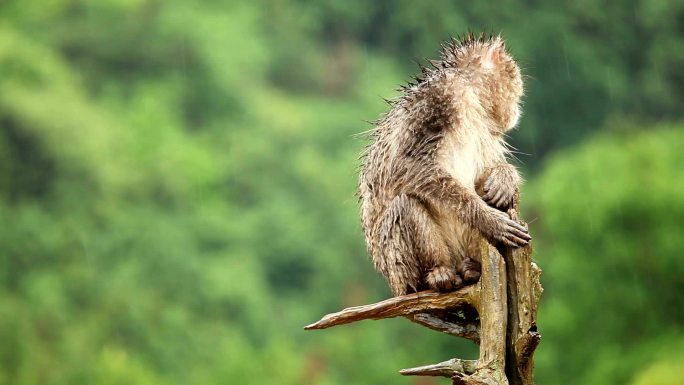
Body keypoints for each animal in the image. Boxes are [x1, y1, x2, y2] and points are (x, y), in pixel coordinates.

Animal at [360, 33, 532, 296]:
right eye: (514, 83)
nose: (517, 108)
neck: (470, 94)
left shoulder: (486, 128)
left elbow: (486, 172)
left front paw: (504, 178)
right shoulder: (435, 101)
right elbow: (404, 164)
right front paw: (488, 219)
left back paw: (472, 268)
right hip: (398, 269)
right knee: (404, 205)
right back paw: (437, 273)